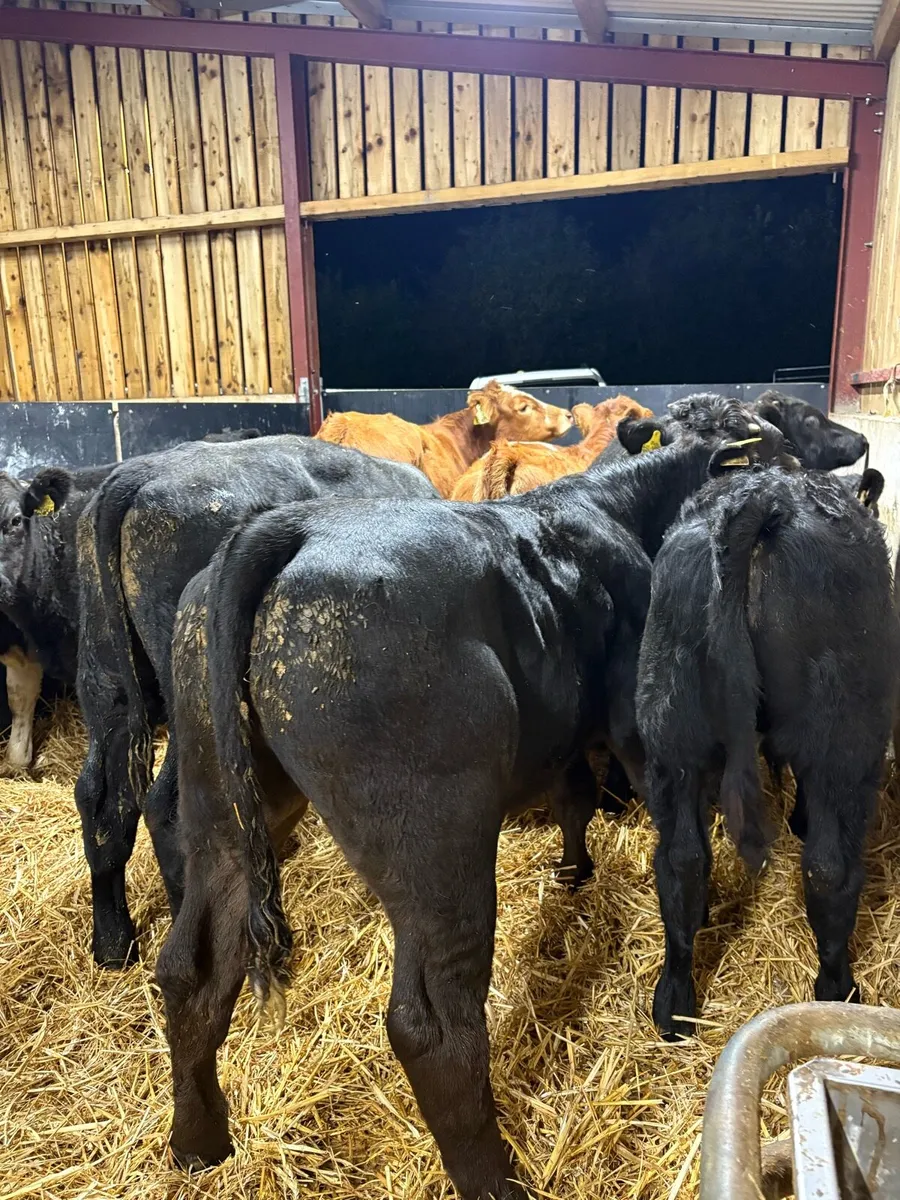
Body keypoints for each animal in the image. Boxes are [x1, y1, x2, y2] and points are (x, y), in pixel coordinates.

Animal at [635, 465, 899, 1041]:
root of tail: (765, 499)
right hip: (845, 735)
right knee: (828, 866)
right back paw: (838, 990)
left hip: (670, 727)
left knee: (681, 860)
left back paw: (674, 1006)